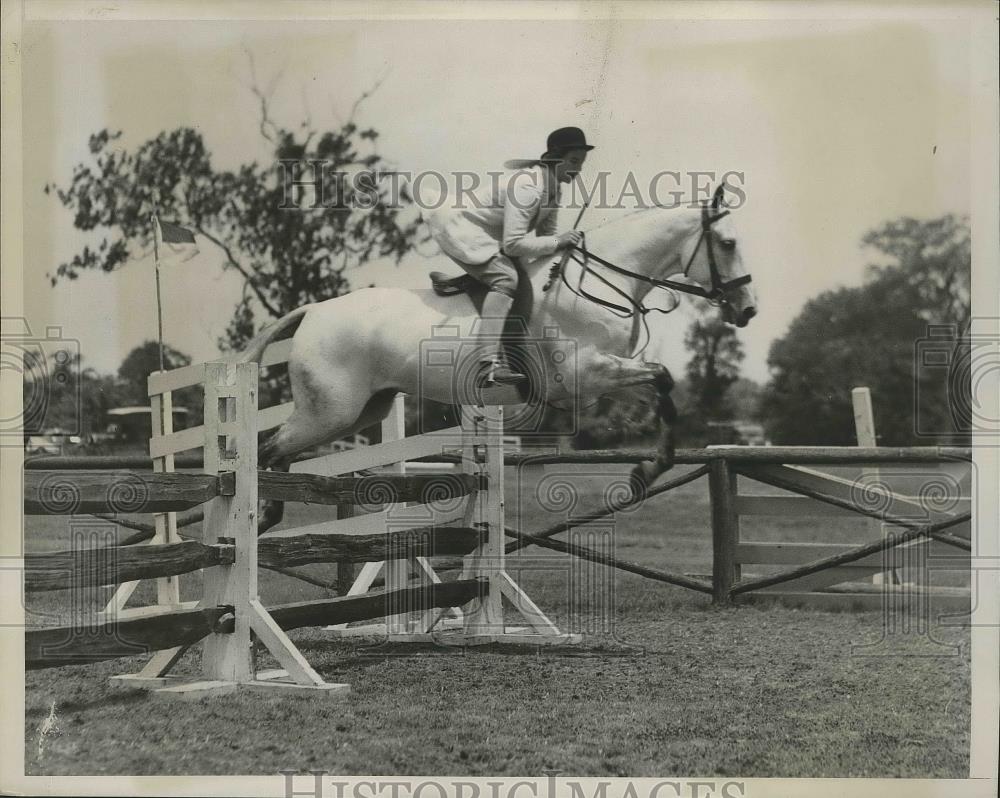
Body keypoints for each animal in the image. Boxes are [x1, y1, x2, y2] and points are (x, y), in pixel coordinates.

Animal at [244, 189, 756, 532]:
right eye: (728, 244)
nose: (747, 309)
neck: (601, 280)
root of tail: (314, 310)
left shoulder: (602, 374)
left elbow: (661, 388)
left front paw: (646, 471)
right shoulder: (582, 374)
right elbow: (662, 377)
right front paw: (644, 470)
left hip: (362, 410)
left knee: (278, 451)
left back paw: (266, 517)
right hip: (330, 412)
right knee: (267, 450)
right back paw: (261, 515)